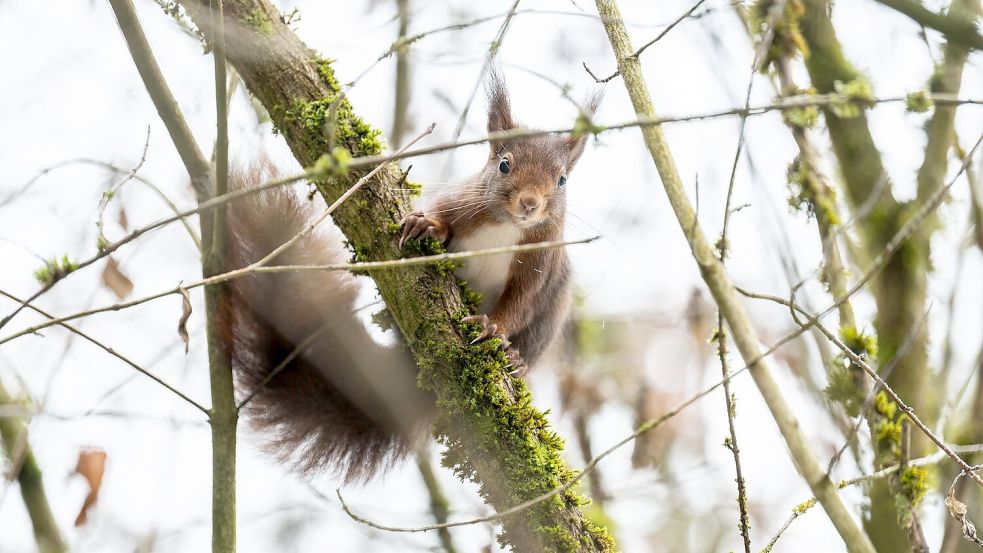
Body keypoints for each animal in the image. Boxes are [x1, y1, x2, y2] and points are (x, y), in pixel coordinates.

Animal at [220, 73, 599, 481]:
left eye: (562, 180)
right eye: (503, 165)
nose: (529, 203)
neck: (508, 227)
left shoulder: (540, 265)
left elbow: (520, 304)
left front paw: (492, 328)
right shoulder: (460, 202)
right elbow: (442, 217)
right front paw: (425, 225)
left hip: (551, 315)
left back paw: (515, 361)